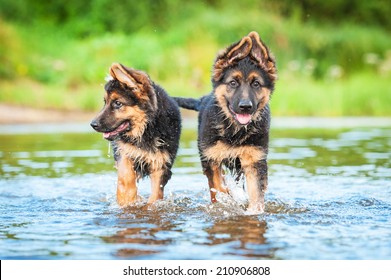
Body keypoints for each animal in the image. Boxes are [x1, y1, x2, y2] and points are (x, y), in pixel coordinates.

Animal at [92, 64, 182, 208]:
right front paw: (128, 200)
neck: (146, 130)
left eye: (117, 103)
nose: (93, 124)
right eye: (105, 102)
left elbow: (156, 194)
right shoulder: (124, 152)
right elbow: (126, 178)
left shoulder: (161, 164)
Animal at [176, 31, 278, 212]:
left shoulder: (254, 159)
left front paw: (254, 211)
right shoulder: (211, 158)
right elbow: (219, 187)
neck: (234, 131)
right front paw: (227, 201)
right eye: (233, 83)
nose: (245, 107)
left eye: (256, 84)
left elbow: (256, 193)